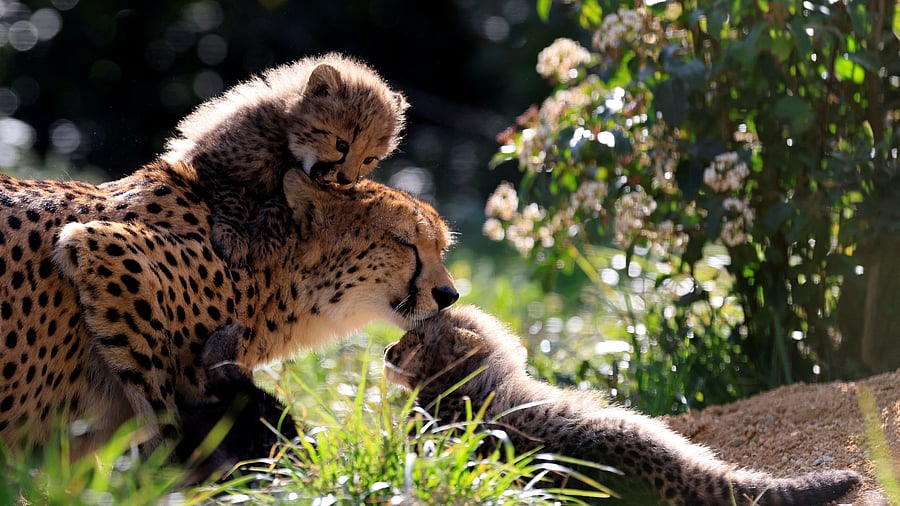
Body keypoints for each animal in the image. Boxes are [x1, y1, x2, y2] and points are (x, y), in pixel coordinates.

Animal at [0, 160, 457, 460]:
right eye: (405, 242)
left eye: (441, 248)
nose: (449, 294)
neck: (271, 280)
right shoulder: (106, 250)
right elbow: (164, 421)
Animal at [163, 52, 409, 268]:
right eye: (341, 145)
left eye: (369, 159)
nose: (346, 179)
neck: (287, 142)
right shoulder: (205, 161)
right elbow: (232, 199)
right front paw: (232, 237)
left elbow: (279, 203)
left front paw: (264, 242)